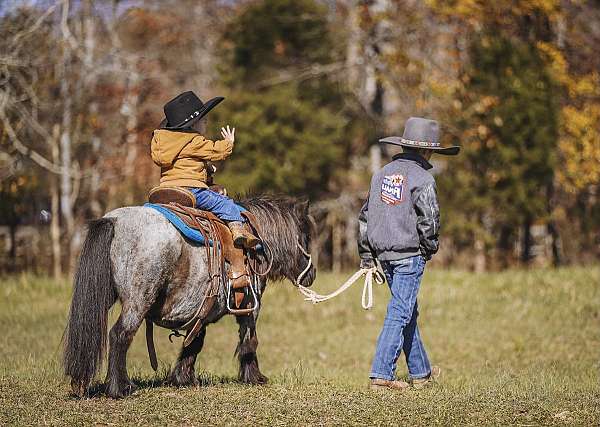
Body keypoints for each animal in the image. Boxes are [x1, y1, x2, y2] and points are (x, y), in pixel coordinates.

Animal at [61, 196, 316, 400]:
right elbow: (249, 340)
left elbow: (195, 341)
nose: (311, 275)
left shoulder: (202, 309)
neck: (256, 242)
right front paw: (254, 376)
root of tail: (114, 221)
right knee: (119, 335)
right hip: (138, 301)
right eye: (305, 236)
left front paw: (183, 378)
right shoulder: (250, 306)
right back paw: (119, 387)